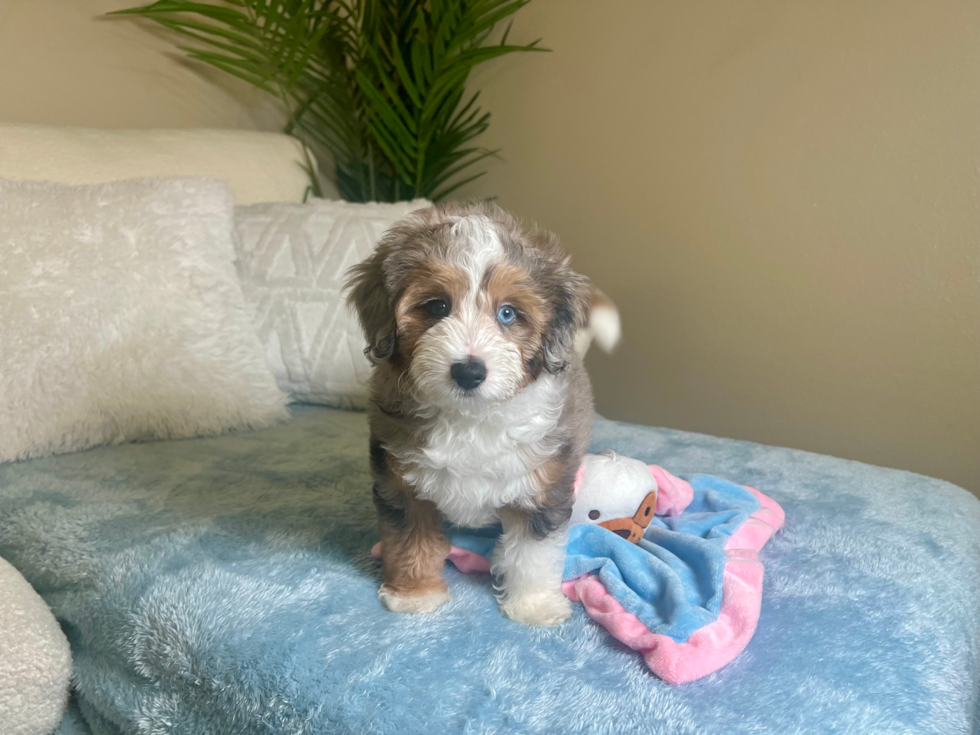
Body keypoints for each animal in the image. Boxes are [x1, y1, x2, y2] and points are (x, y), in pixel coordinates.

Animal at [348, 201, 616, 628]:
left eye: (507, 313)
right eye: (437, 306)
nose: (469, 371)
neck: (469, 418)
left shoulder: (541, 481)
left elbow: (533, 551)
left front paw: (534, 605)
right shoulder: (400, 482)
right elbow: (410, 538)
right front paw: (415, 594)